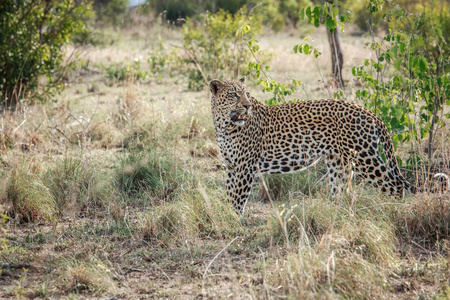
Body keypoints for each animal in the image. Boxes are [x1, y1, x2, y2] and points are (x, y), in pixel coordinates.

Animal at [209, 77, 448, 213]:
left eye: (246, 94)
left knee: (396, 187)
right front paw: (228, 217)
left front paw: (234, 222)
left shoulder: (244, 167)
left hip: (367, 159)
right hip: (339, 162)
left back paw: (392, 213)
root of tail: (370, 113)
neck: (224, 124)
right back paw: (334, 216)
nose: (247, 106)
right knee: (342, 192)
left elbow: (238, 198)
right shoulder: (231, 166)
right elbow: (230, 194)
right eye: (234, 94)